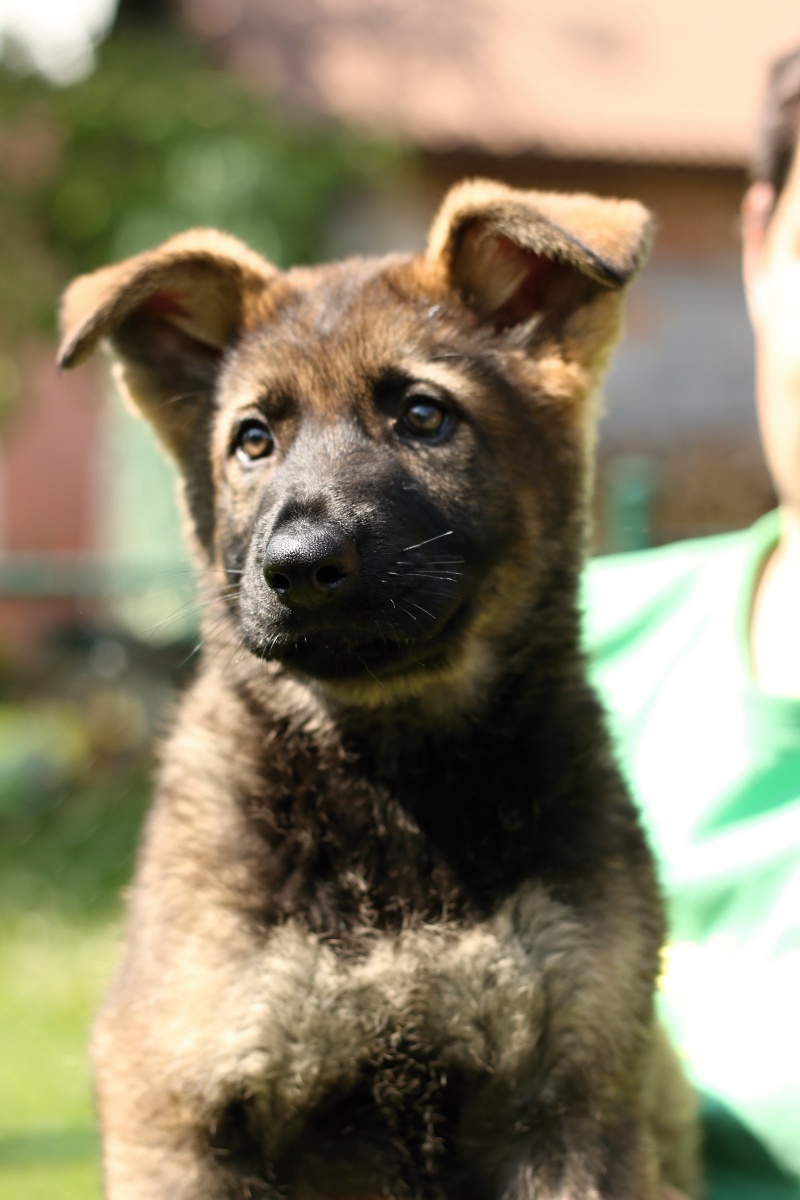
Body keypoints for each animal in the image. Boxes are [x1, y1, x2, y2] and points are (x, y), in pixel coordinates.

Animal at [58, 179, 699, 1200]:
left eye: (424, 416)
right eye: (252, 441)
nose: (298, 565)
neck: (395, 780)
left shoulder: (574, 1100)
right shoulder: (182, 1110)